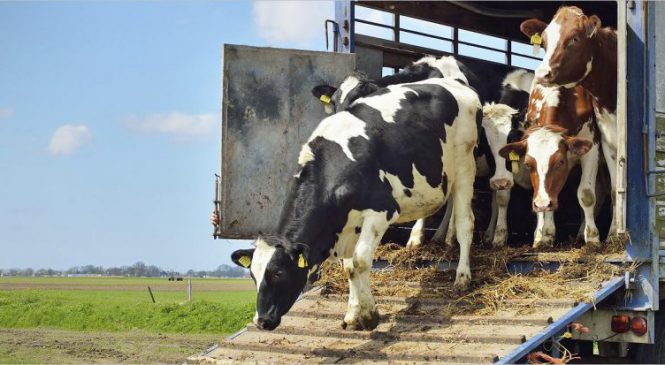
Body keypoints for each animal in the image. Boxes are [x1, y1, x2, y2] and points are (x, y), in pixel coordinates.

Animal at [231, 76, 480, 330]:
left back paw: (462, 277)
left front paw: (370, 315)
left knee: (465, 223)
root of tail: (453, 82)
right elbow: (349, 267)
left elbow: (360, 262)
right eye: (253, 275)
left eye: (279, 272)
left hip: (465, 165)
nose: (261, 320)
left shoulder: (381, 210)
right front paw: (352, 313)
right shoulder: (348, 224)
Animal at [500, 83, 600, 246]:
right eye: (527, 164)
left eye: (560, 161)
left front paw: (592, 237)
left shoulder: (592, 145)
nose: (542, 204)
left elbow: (586, 194)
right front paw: (544, 234)